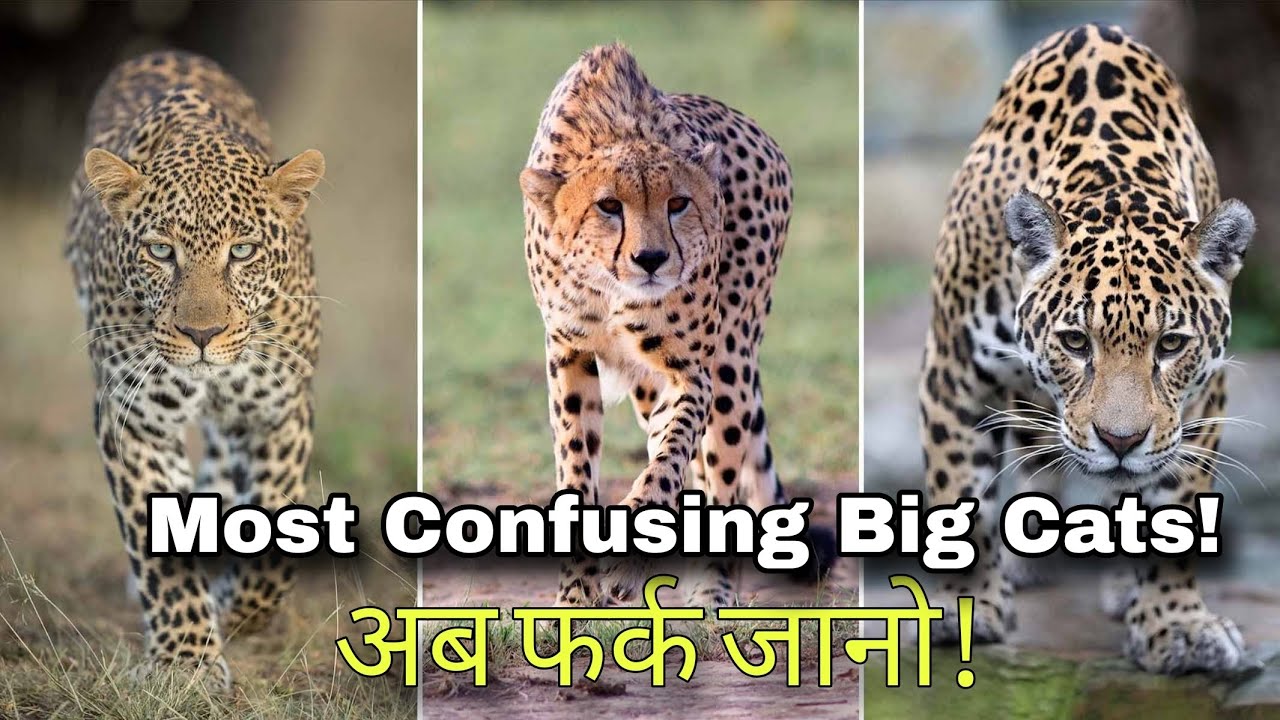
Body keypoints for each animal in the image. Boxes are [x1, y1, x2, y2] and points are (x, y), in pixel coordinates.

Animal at [66, 50, 325, 686]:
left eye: (243, 251)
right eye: (161, 252)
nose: (202, 335)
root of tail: (161, 51)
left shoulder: (280, 410)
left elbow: (275, 524)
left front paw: (235, 610)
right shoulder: (132, 418)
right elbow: (158, 544)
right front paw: (186, 662)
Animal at [520, 44, 834, 609]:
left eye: (678, 203)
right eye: (608, 206)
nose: (651, 259)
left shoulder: (691, 373)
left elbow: (670, 458)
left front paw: (627, 562)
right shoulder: (570, 352)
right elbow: (577, 462)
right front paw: (575, 595)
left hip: (730, 364)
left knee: (719, 469)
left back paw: (712, 592)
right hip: (651, 386)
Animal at [920, 23, 1255, 674]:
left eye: (1171, 345)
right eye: (1076, 342)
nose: (1121, 441)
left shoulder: (1202, 399)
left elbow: (1178, 502)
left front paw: (1178, 625)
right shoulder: (953, 369)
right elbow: (959, 492)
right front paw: (960, 608)